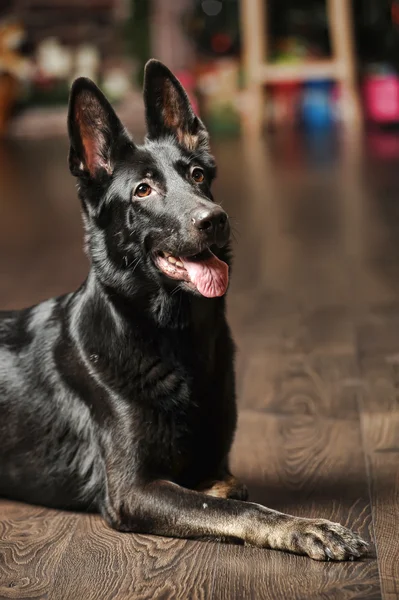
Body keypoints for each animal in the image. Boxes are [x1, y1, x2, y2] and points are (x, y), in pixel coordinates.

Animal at [0, 61, 368, 564]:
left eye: (196, 174)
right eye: (142, 190)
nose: (214, 219)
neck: (174, 335)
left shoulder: (215, 459)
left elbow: (228, 487)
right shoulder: (133, 490)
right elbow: (242, 507)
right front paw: (304, 527)